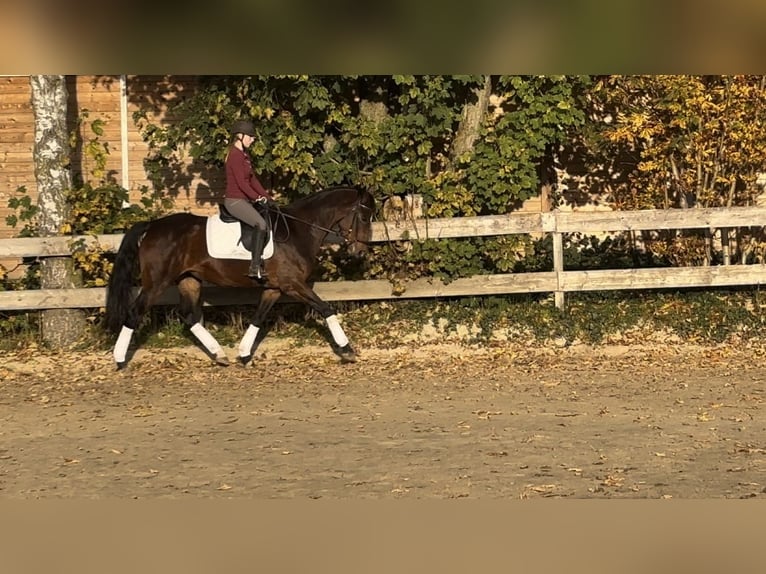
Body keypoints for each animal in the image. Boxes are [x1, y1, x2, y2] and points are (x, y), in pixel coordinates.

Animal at [103, 187, 376, 372]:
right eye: (364, 218)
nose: (360, 252)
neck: (300, 230)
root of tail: (152, 227)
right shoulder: (293, 284)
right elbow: (325, 308)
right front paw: (347, 350)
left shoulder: (274, 288)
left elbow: (258, 317)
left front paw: (244, 354)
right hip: (156, 284)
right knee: (134, 313)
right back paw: (120, 360)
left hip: (188, 279)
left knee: (189, 316)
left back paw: (219, 355)